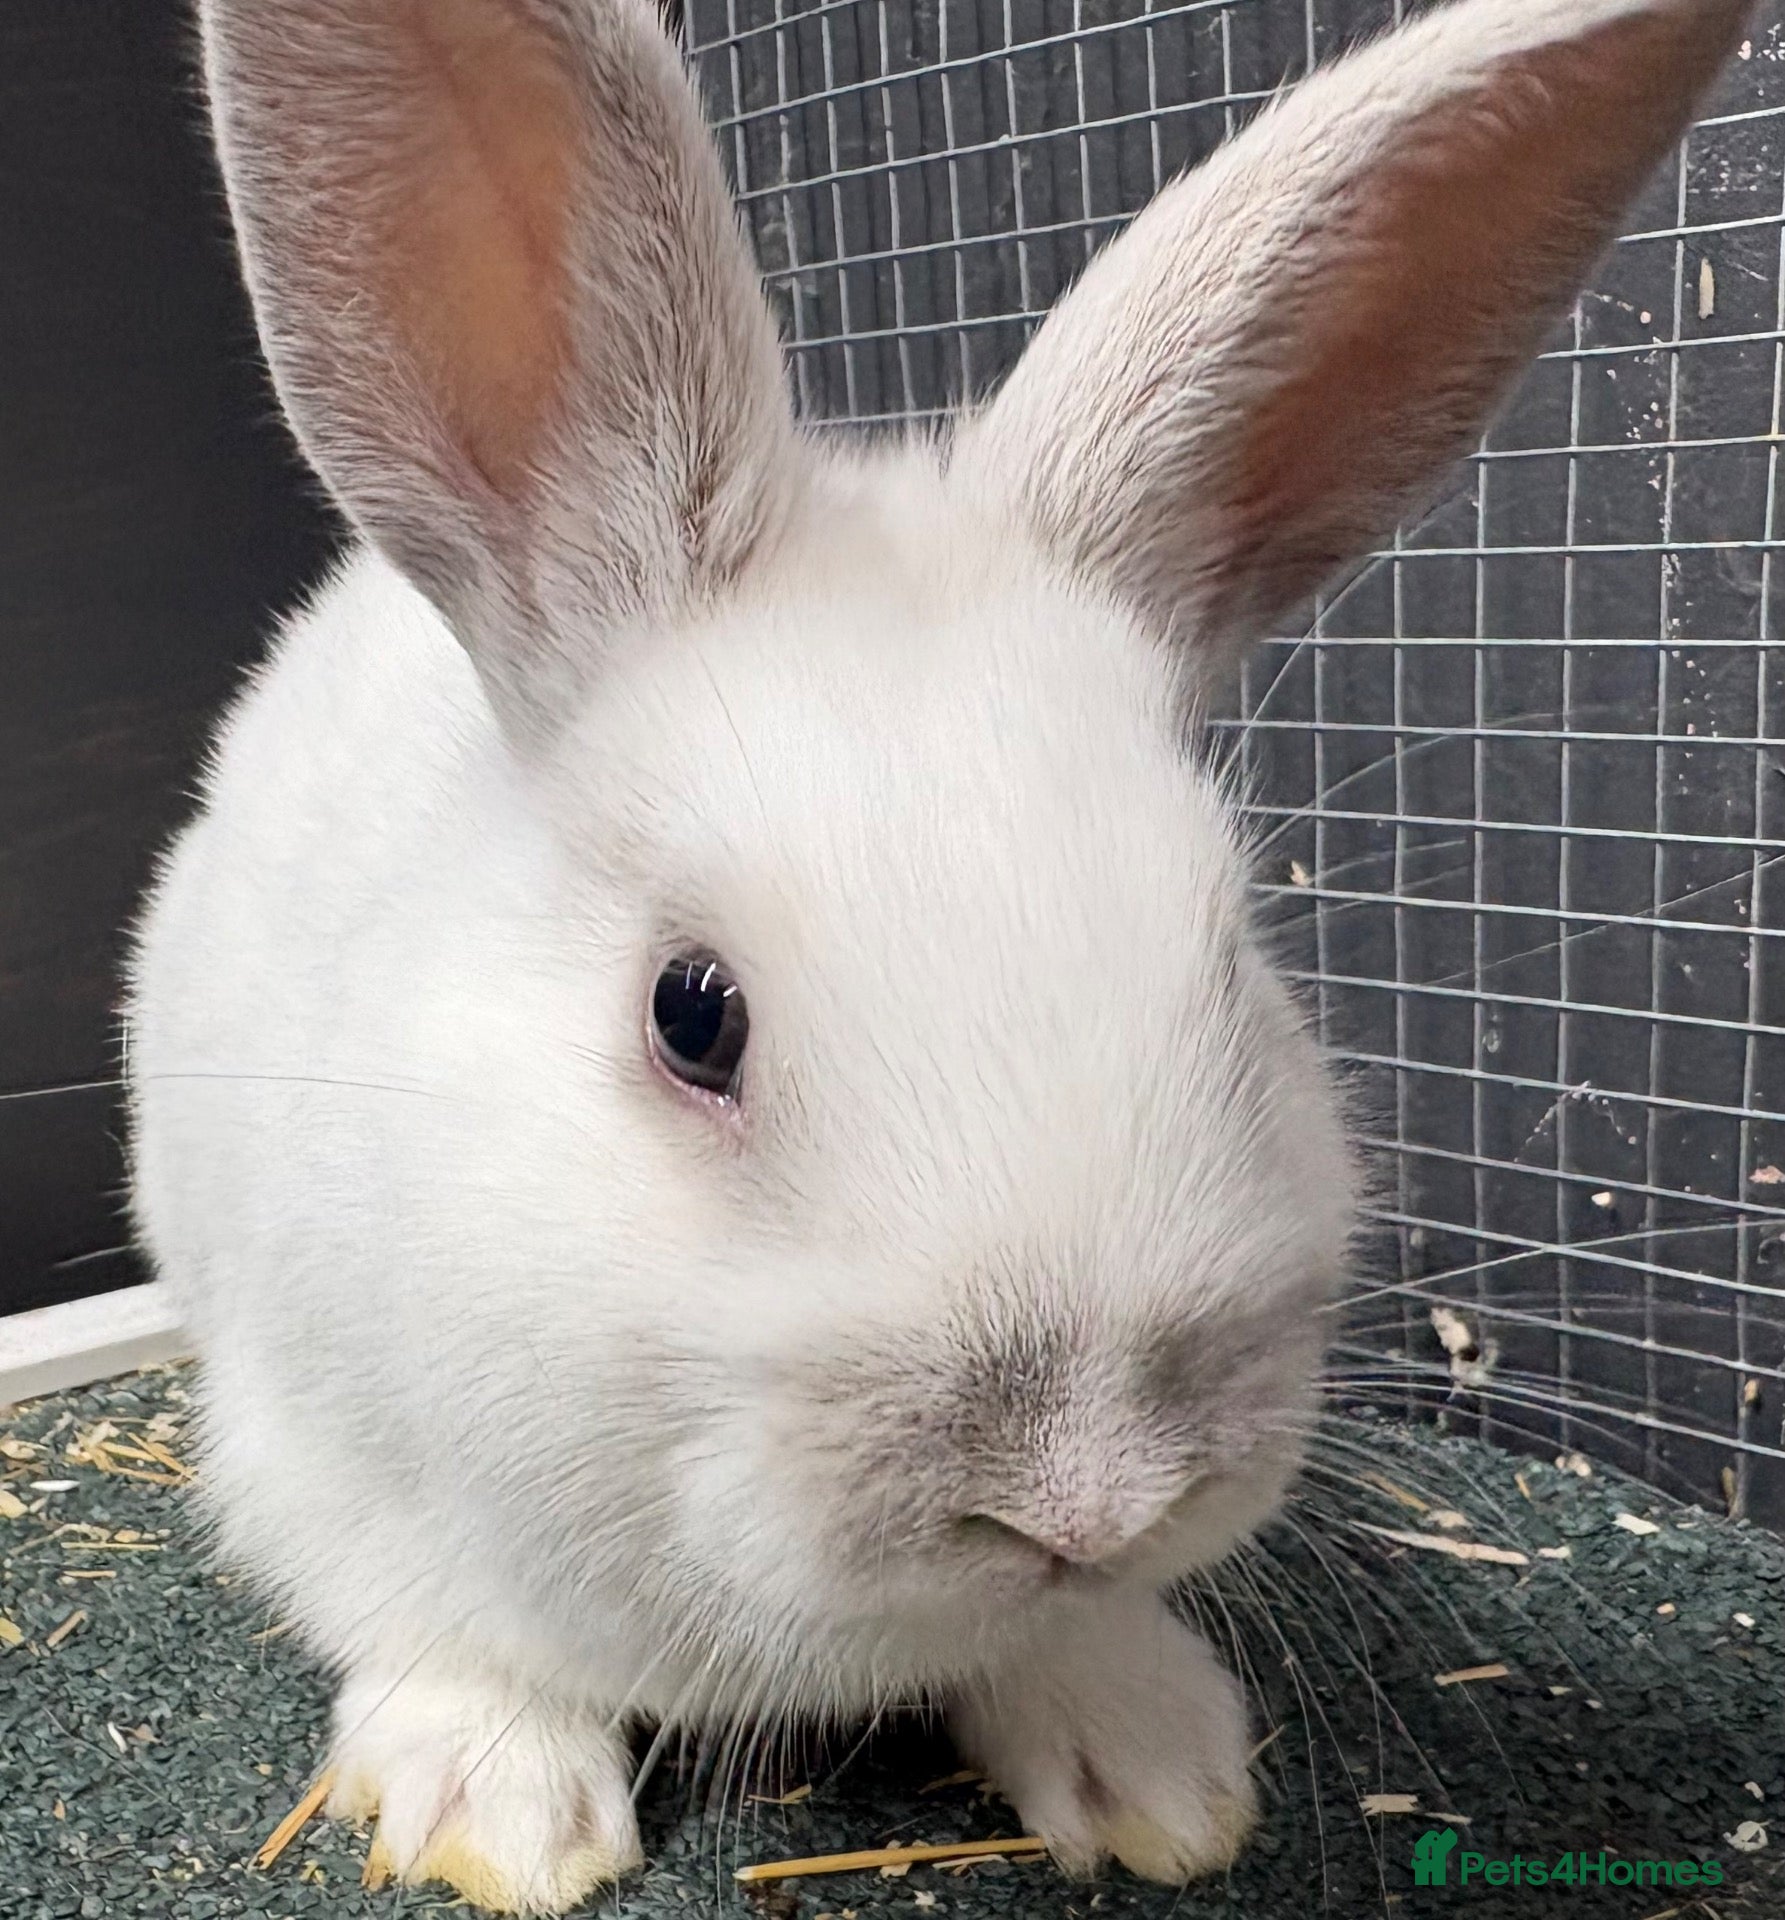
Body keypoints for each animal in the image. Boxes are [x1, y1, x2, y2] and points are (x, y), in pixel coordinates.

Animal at [125, 0, 1750, 1909]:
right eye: (692, 1015)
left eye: (1232, 962)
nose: (1088, 1494)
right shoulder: (312, 1445)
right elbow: (443, 1633)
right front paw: (499, 1820)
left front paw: (1157, 1774)